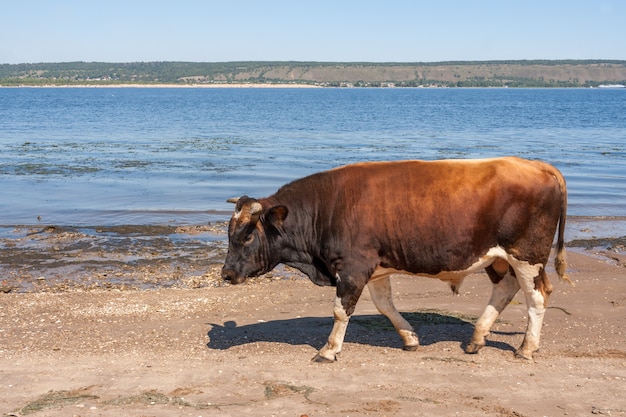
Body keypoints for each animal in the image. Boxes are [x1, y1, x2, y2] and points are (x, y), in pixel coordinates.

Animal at [222, 156, 568, 360]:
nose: (225, 274)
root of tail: (538, 165)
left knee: (537, 296)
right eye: (229, 231)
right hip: (498, 258)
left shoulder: (353, 267)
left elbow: (340, 311)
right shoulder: (376, 267)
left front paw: (329, 350)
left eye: (249, 234)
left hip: (526, 255)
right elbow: (384, 305)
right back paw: (477, 338)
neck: (327, 207)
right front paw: (410, 337)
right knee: (505, 289)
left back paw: (526, 348)